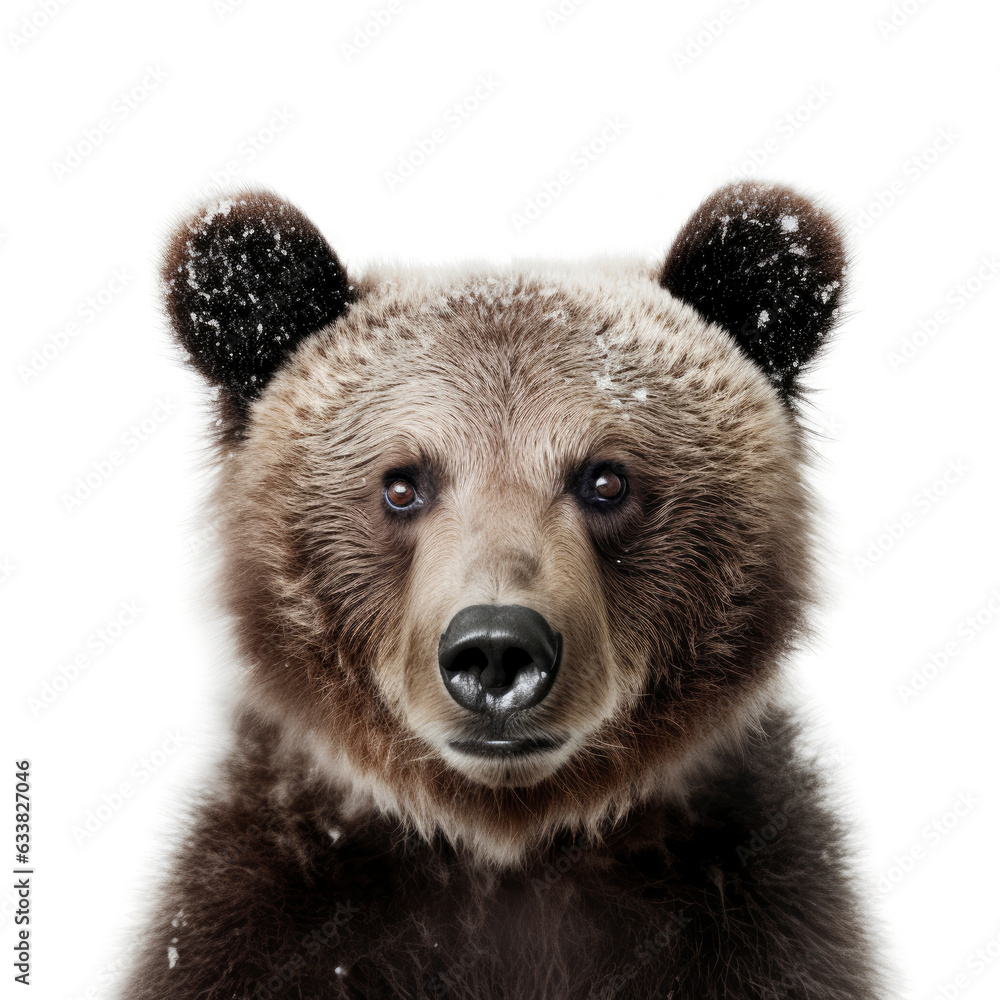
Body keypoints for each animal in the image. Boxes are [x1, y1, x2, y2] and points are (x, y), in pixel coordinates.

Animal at [120, 181, 883, 1000]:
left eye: (606, 478)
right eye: (401, 484)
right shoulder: (267, 927)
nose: (495, 649)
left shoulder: (756, 922)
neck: (504, 847)